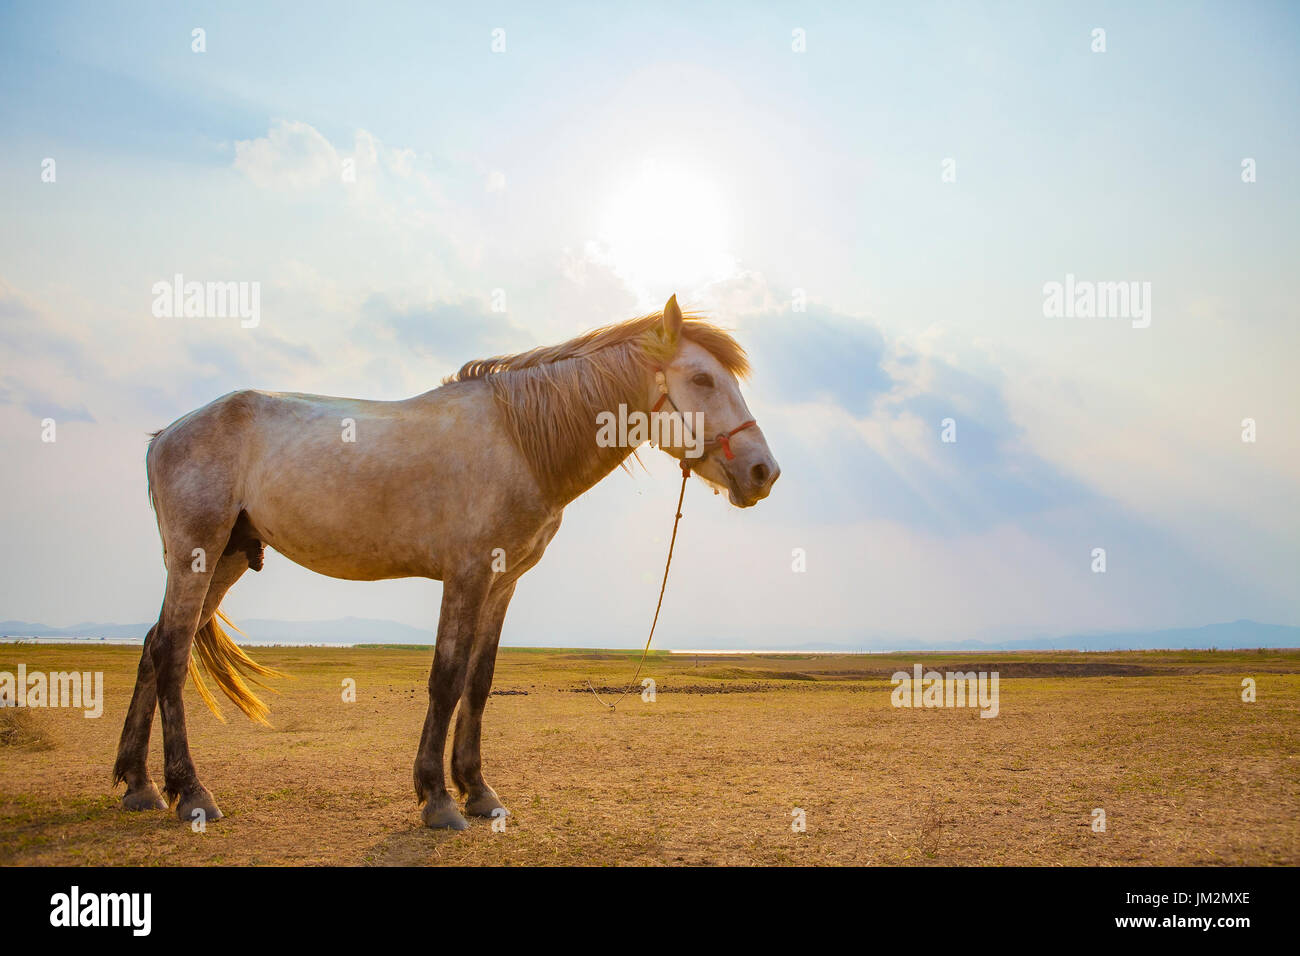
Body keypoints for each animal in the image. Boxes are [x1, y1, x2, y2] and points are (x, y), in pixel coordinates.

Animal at [112, 295, 780, 829]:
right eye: (702, 379)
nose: (763, 471)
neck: (520, 440)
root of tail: (165, 434)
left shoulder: (502, 584)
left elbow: (479, 683)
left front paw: (479, 792)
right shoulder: (466, 576)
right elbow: (446, 677)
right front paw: (437, 799)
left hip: (223, 560)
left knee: (153, 646)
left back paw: (140, 786)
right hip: (196, 557)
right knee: (171, 653)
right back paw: (191, 794)